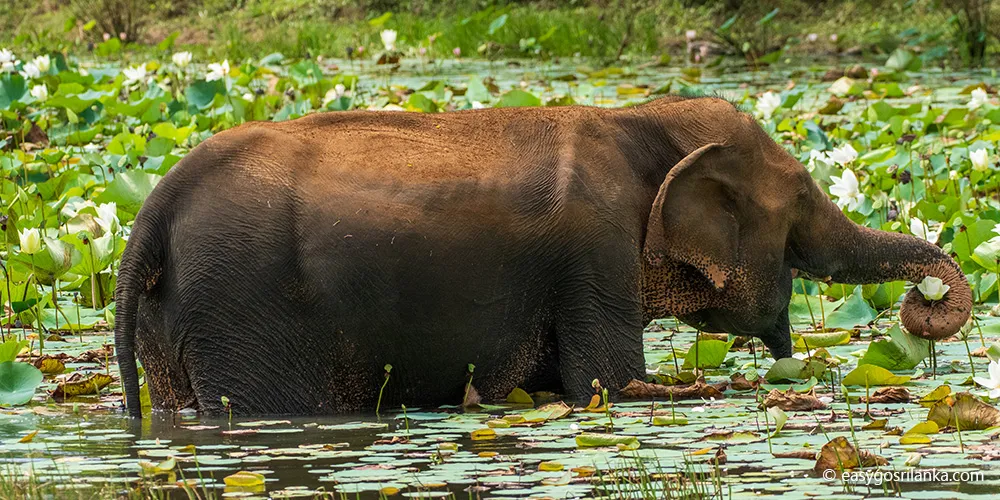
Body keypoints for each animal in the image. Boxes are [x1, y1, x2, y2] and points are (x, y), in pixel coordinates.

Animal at [115, 96, 972, 416]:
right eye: (797, 203)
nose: (924, 299)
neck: (641, 118)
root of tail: (151, 209)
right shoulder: (594, 255)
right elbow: (610, 385)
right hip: (244, 311)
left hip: (178, 322)